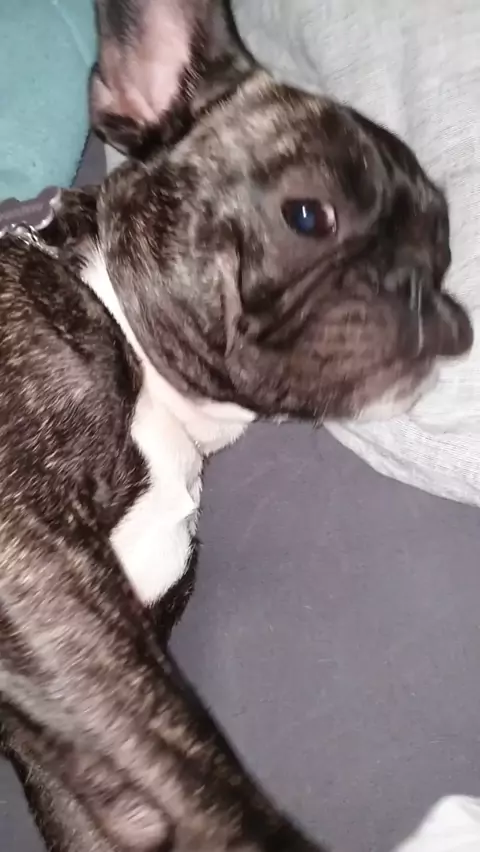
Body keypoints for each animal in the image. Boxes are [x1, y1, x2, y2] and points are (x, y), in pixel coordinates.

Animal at [0, 0, 473, 850]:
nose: (434, 303)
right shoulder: (37, 568)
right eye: (308, 216)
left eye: (441, 254)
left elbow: (116, 798)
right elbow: (190, 763)